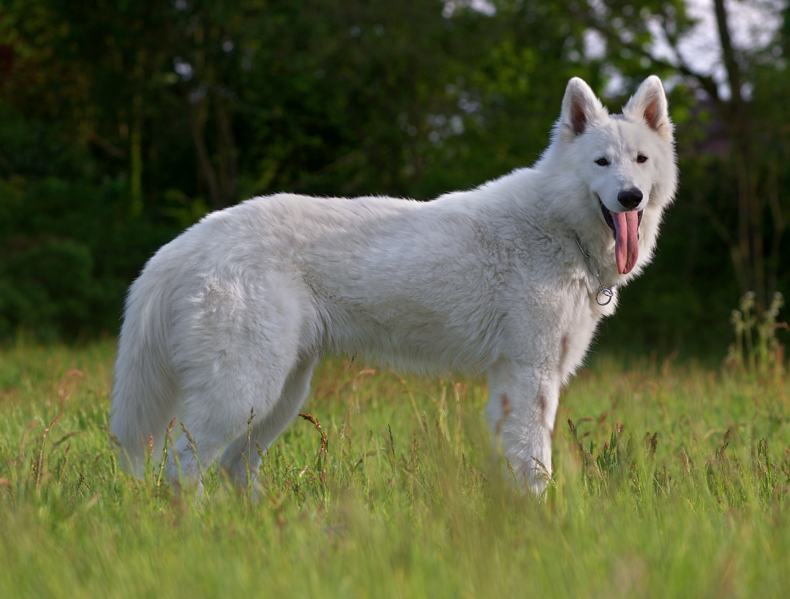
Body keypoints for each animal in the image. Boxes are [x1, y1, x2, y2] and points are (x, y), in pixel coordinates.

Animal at [111, 77, 680, 494]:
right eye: (601, 162)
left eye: (640, 161)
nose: (629, 197)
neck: (558, 227)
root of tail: (189, 241)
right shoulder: (529, 376)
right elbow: (535, 466)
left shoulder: (511, 383)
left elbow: (515, 464)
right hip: (244, 391)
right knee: (181, 470)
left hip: (280, 396)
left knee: (233, 468)